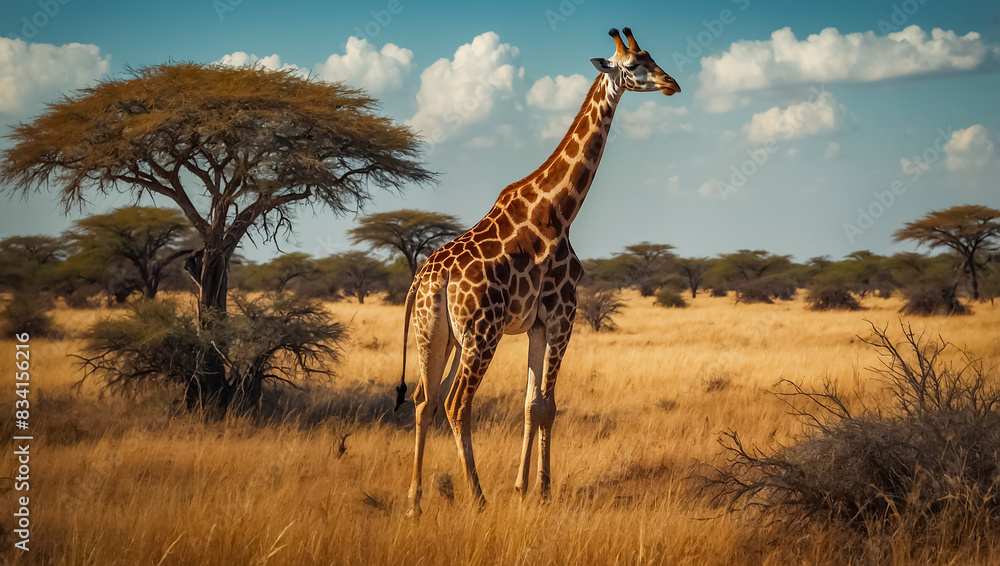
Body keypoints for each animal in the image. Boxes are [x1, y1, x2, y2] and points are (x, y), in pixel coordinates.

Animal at [395, 27, 680, 515]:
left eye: (653, 57)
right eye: (632, 66)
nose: (671, 84)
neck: (560, 210)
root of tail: (428, 278)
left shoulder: (536, 324)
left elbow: (530, 404)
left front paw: (522, 488)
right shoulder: (563, 313)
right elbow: (547, 405)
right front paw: (544, 490)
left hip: (436, 334)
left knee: (423, 400)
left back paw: (414, 503)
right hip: (481, 333)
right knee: (456, 404)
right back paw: (476, 497)